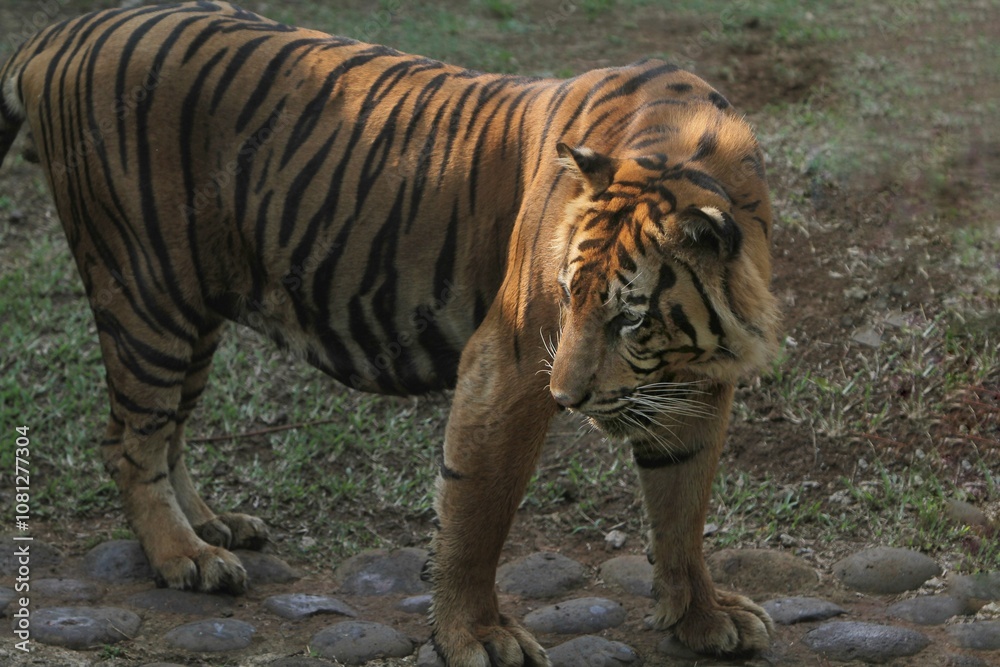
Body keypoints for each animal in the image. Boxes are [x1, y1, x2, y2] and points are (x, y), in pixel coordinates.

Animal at [0, 2, 780, 664]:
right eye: (565, 296)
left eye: (630, 318)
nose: (567, 398)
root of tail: (61, 33)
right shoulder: (509, 360)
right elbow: (479, 508)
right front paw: (476, 634)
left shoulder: (699, 383)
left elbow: (682, 509)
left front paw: (702, 616)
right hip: (145, 290)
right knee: (129, 441)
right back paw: (183, 556)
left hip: (195, 308)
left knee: (169, 432)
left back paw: (213, 527)